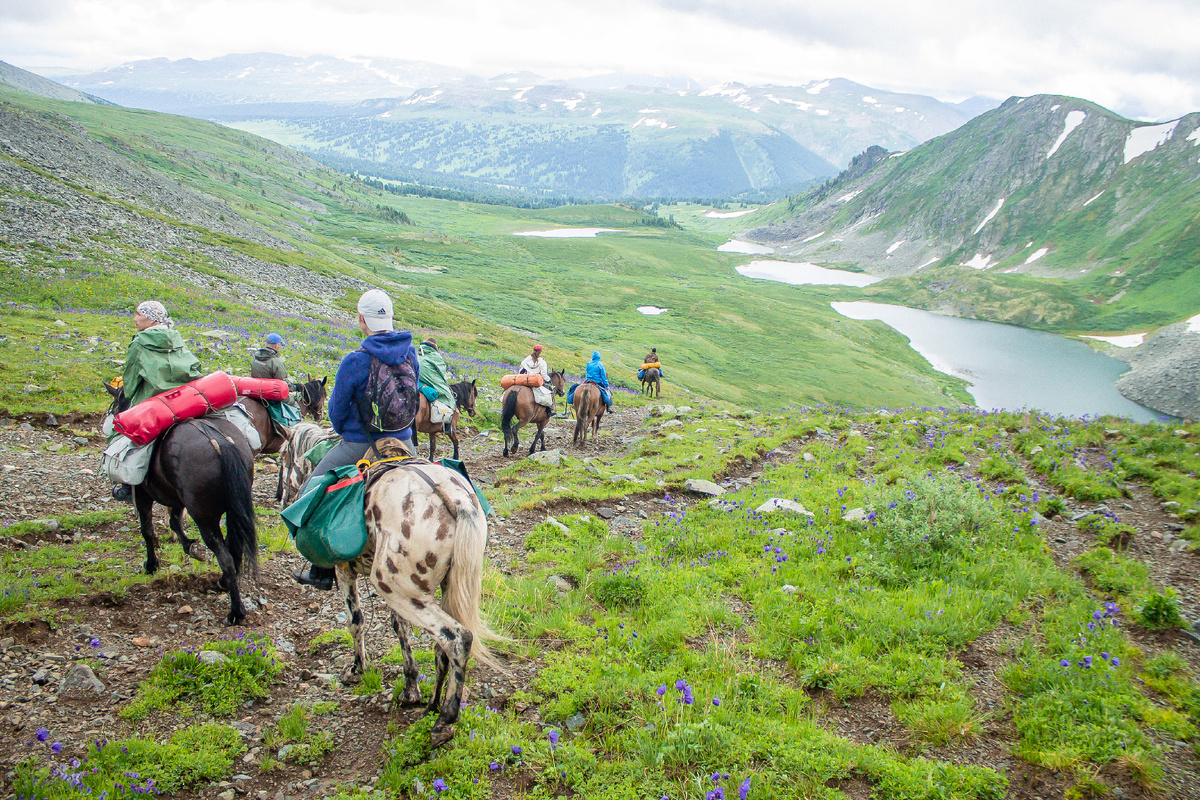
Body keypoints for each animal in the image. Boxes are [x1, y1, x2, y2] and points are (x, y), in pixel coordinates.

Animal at [102, 386, 258, 623]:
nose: (119, 491)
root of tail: (220, 443)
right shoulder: (176, 500)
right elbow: (175, 522)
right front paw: (190, 547)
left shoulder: (143, 495)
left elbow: (147, 530)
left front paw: (151, 565)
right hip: (234, 511)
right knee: (234, 548)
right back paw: (223, 583)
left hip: (204, 518)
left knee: (226, 558)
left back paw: (235, 612)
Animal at [336, 434, 504, 748]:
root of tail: (454, 500)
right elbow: (399, 627)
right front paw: (411, 688)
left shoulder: (344, 572)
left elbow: (356, 622)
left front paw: (357, 669)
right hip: (433, 590)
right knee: (441, 646)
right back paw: (433, 704)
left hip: (395, 588)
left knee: (456, 638)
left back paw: (444, 721)